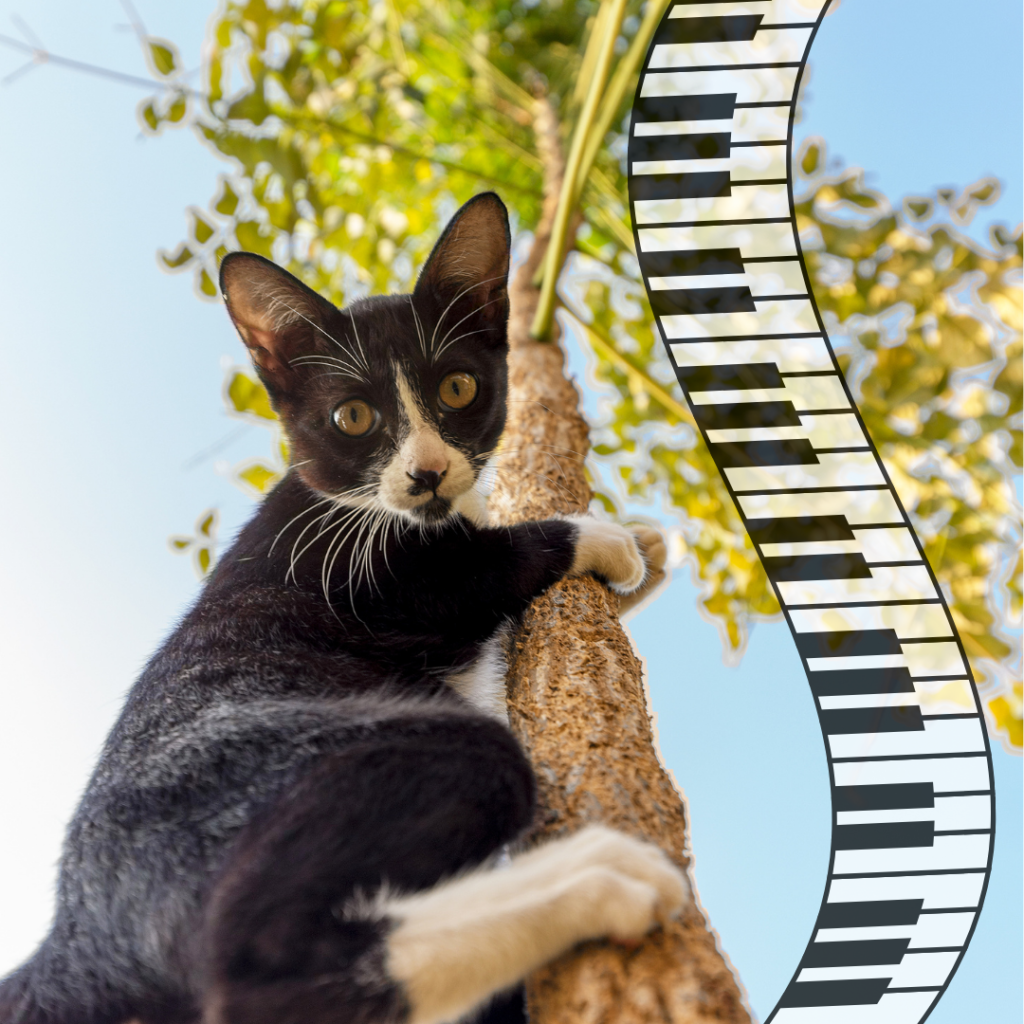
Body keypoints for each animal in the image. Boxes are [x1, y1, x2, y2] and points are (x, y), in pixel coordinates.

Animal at [2, 192, 688, 1024]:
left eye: (457, 388)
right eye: (352, 417)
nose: (427, 472)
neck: (354, 506)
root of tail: (72, 937)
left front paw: (647, 545)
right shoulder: (350, 572)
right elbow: (477, 567)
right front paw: (606, 537)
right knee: (260, 965)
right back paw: (593, 881)